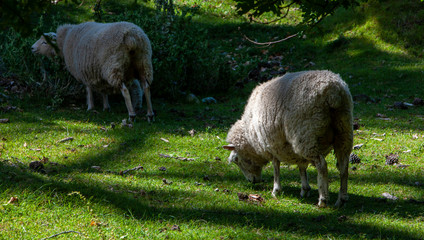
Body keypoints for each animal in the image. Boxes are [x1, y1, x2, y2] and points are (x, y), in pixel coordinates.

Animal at [224, 70, 352, 207]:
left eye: (237, 160)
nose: (252, 181)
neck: (251, 135)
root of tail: (333, 91)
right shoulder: (290, 146)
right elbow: (302, 166)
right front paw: (305, 189)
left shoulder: (272, 143)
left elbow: (276, 167)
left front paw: (276, 190)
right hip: (343, 129)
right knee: (344, 166)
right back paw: (341, 199)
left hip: (306, 134)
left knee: (322, 165)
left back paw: (323, 199)